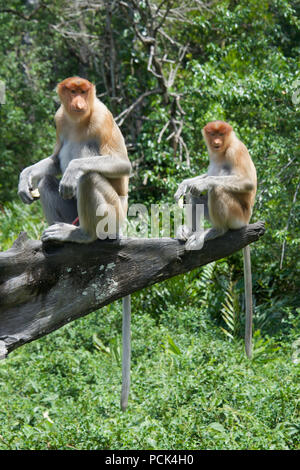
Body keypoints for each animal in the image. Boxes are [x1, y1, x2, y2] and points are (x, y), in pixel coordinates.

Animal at [175, 120, 256, 356]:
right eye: (213, 134)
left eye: (222, 134)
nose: (217, 142)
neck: (224, 149)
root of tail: (247, 220)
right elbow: (198, 181)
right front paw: (185, 183)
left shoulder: (235, 150)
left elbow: (247, 181)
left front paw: (202, 183)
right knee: (195, 196)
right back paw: (190, 233)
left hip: (237, 215)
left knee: (217, 189)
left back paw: (216, 231)